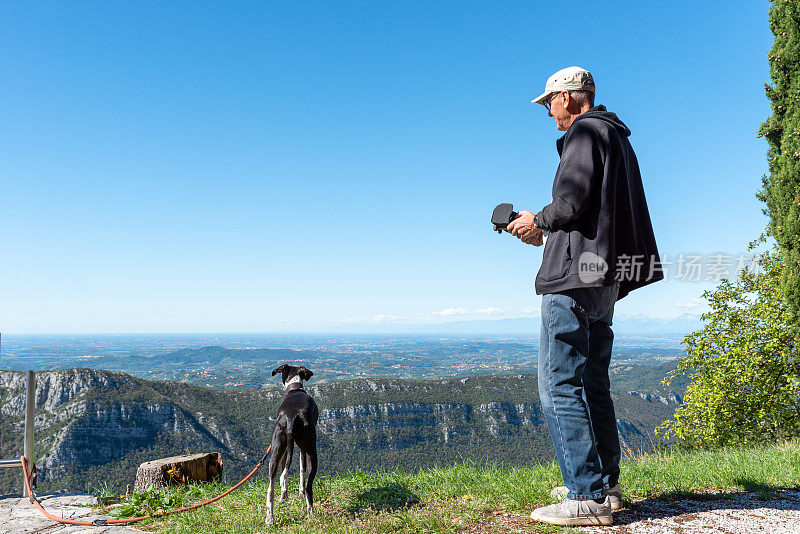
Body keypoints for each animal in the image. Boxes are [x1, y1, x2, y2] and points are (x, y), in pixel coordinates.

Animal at [268, 364, 320, 528]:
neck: (295, 387)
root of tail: (291, 418)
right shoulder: (302, 450)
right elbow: (302, 473)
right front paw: (299, 494)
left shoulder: (285, 451)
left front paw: (284, 496)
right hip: (311, 451)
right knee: (309, 486)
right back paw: (310, 513)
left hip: (276, 452)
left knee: (270, 490)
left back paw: (269, 519)